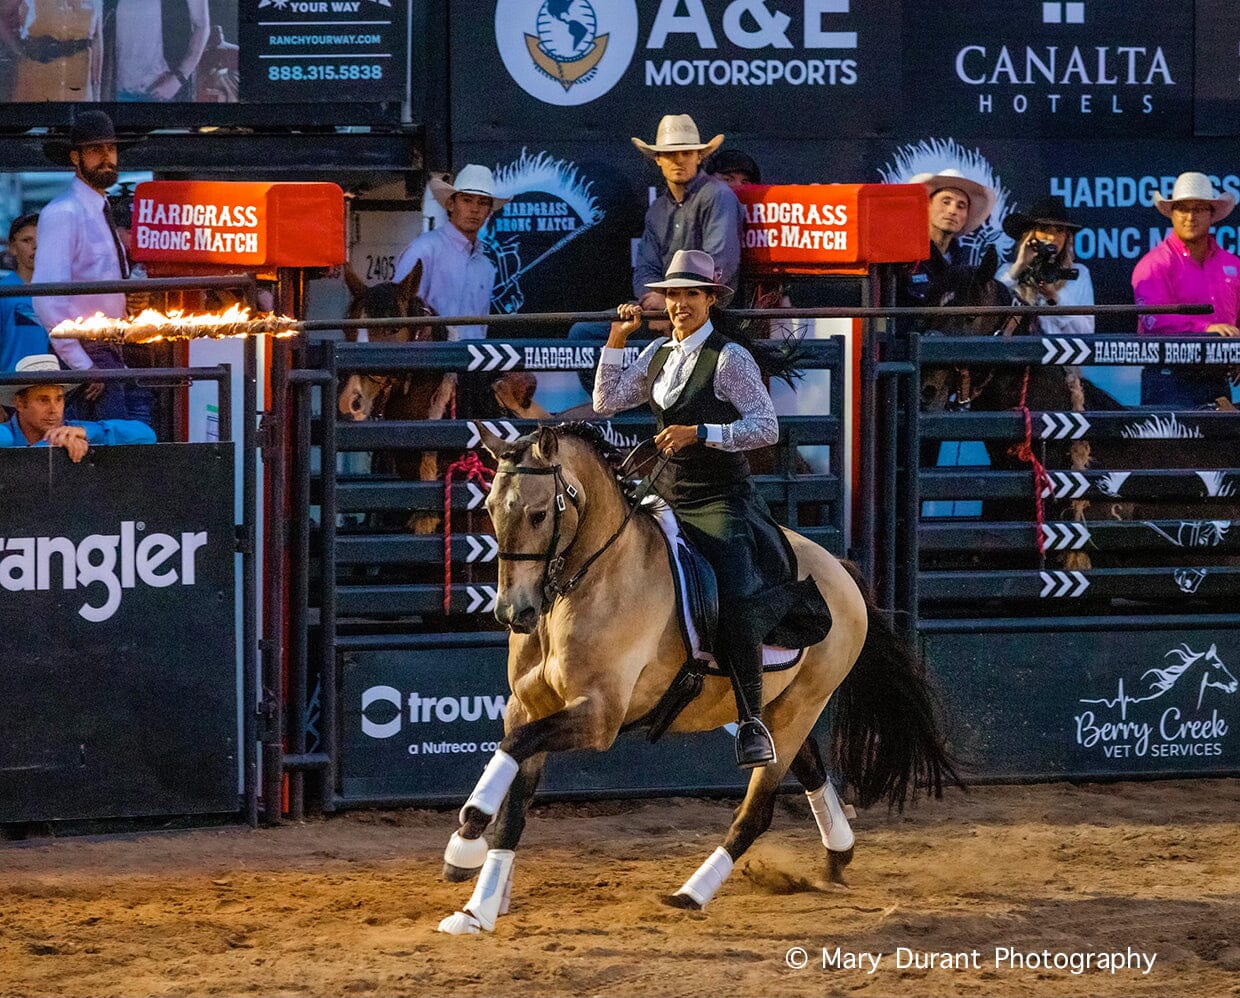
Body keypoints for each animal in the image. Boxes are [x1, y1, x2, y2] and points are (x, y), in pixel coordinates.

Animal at [436, 421, 957, 932]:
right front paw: (478, 906)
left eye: (540, 514)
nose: (514, 612)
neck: (595, 579)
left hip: (801, 707)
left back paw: (691, 893)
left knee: (755, 813)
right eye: (490, 509)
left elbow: (514, 748)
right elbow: (514, 804)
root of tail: (841, 571)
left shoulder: (599, 717)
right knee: (810, 768)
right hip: (780, 708)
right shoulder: (529, 706)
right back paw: (837, 855)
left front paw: (468, 833)